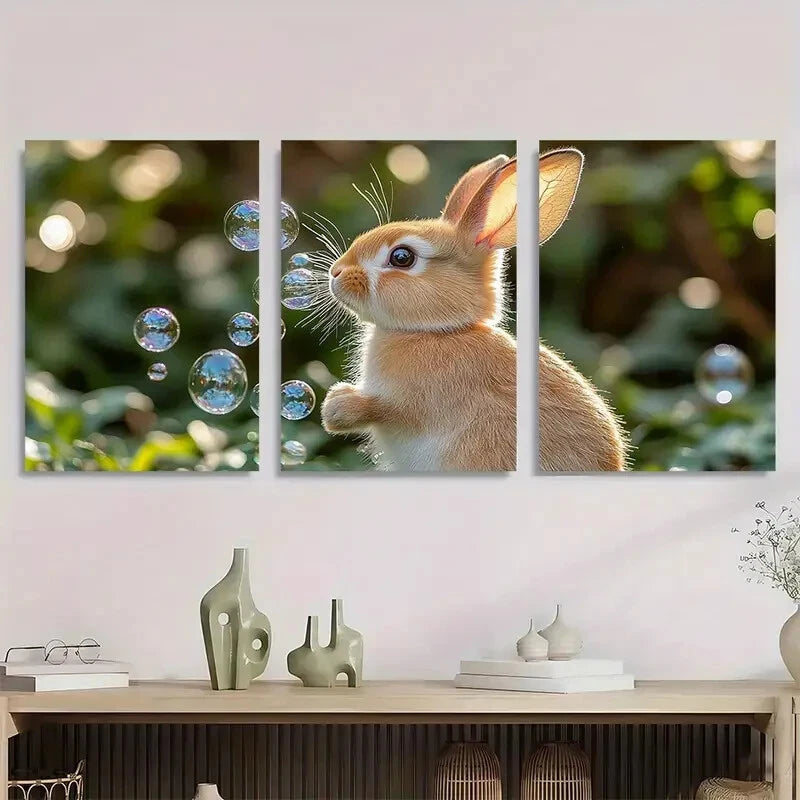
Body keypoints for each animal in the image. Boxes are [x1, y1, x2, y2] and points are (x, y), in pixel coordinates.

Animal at [319, 154, 518, 471]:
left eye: (402, 257)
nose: (335, 272)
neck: (434, 331)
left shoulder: (418, 402)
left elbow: (385, 408)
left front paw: (336, 407)